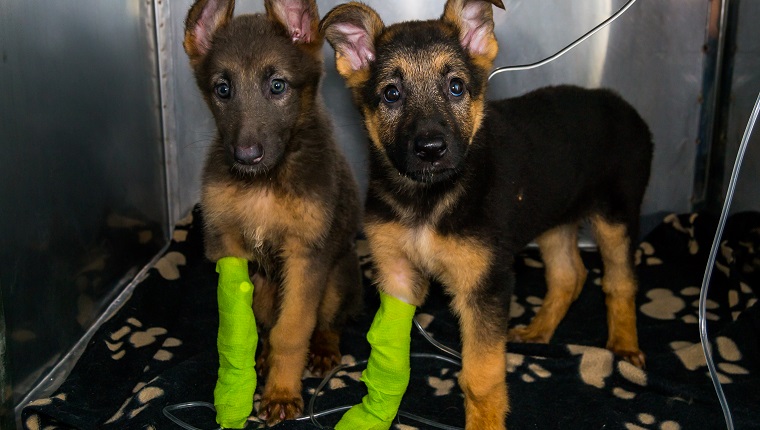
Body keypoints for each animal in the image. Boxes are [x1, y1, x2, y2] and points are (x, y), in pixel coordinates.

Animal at [183, 0, 362, 424]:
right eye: (223, 89)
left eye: (277, 86)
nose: (245, 155)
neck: (264, 184)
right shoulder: (228, 247)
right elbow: (241, 327)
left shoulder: (306, 255)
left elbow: (292, 331)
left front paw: (281, 393)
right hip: (264, 284)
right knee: (265, 326)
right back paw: (262, 357)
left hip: (337, 276)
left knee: (328, 322)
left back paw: (324, 351)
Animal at [320, 0, 652, 426]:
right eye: (391, 94)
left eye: (456, 87)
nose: (431, 149)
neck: (427, 199)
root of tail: (619, 102)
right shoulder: (396, 274)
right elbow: (388, 354)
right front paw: (373, 413)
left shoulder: (485, 285)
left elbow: (480, 375)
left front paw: (485, 422)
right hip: (554, 216)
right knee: (570, 275)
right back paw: (538, 332)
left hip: (617, 215)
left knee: (620, 281)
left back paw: (624, 348)